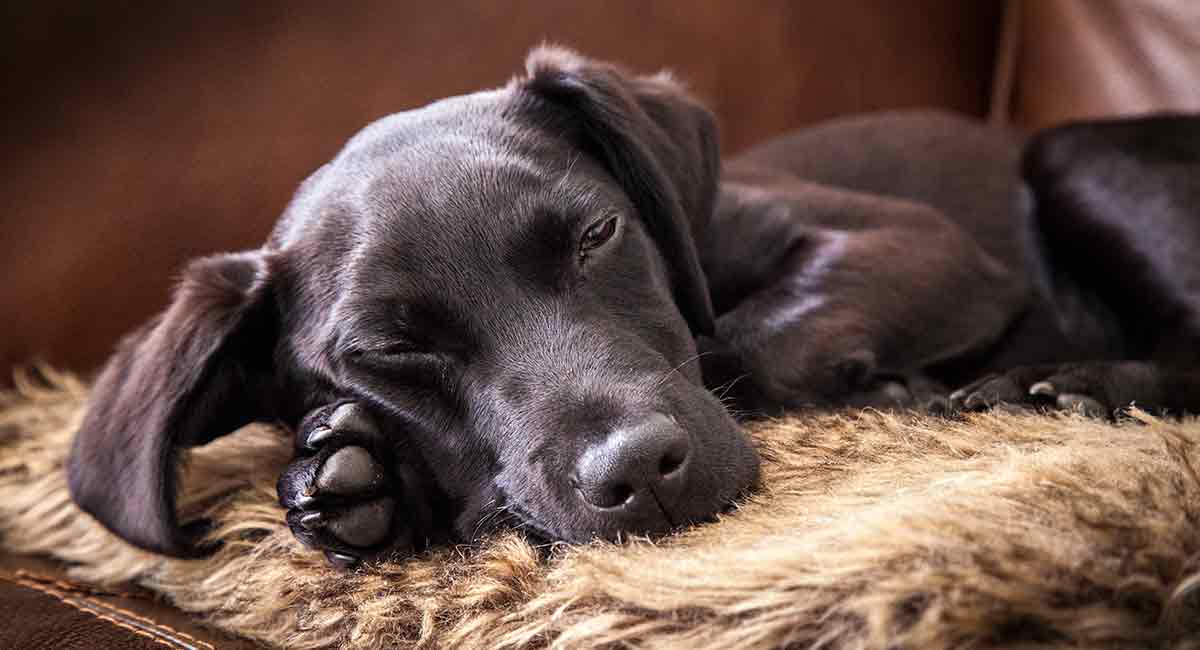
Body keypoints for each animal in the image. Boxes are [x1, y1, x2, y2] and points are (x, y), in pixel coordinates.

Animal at [68, 48, 1200, 568]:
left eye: (599, 234)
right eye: (389, 348)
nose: (642, 475)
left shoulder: (926, 246)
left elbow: (744, 342)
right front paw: (358, 477)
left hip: (1072, 153)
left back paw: (1065, 384)